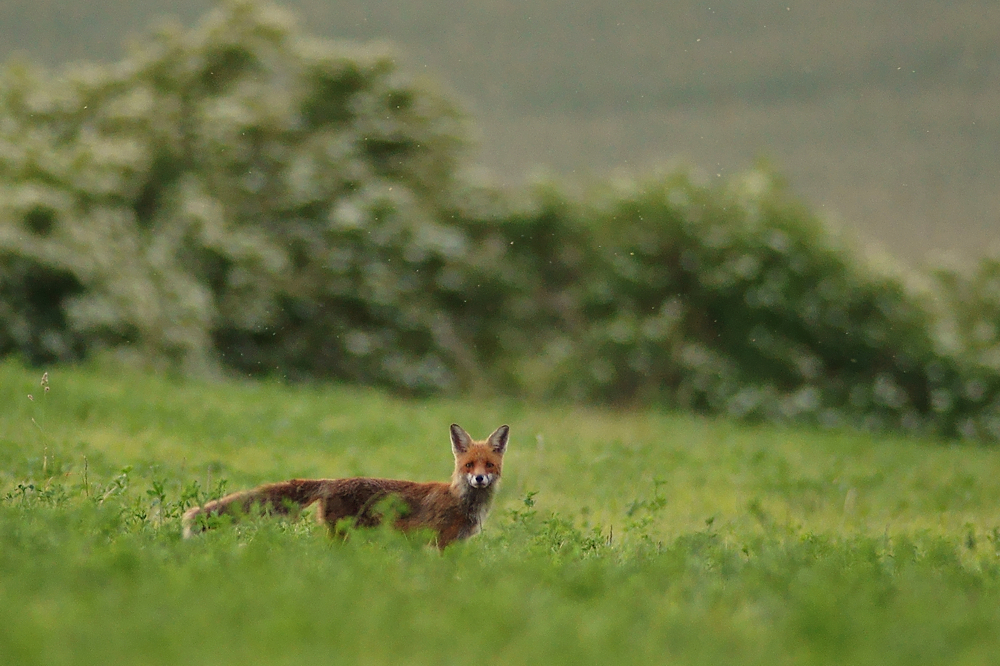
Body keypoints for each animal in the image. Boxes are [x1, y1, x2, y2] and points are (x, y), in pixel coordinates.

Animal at [182, 422, 508, 548]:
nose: (479, 478)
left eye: (489, 466)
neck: (462, 502)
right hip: (342, 536)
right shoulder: (441, 543)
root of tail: (332, 481)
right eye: (469, 466)